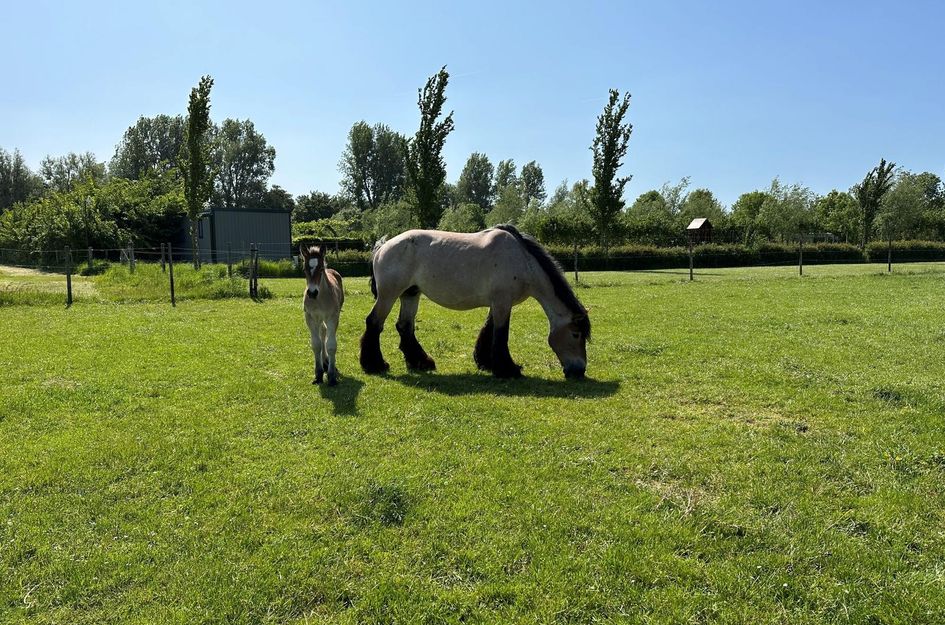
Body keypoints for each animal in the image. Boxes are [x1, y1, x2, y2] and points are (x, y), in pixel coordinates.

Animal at [300, 245, 344, 386]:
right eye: (304, 269)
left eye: (320, 269)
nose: (312, 293)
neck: (320, 299)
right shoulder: (310, 318)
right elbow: (316, 344)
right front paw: (318, 374)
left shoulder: (332, 318)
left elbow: (331, 345)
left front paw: (331, 376)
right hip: (319, 319)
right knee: (322, 332)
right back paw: (324, 362)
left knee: (325, 333)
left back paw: (327, 362)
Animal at [360, 225, 592, 380]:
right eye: (576, 334)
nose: (579, 371)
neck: (523, 261)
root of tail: (383, 246)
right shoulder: (502, 303)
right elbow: (501, 334)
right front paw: (507, 369)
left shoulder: (499, 303)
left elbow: (489, 331)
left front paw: (486, 362)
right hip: (388, 295)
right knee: (374, 323)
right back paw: (375, 365)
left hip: (410, 294)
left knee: (404, 327)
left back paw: (421, 362)